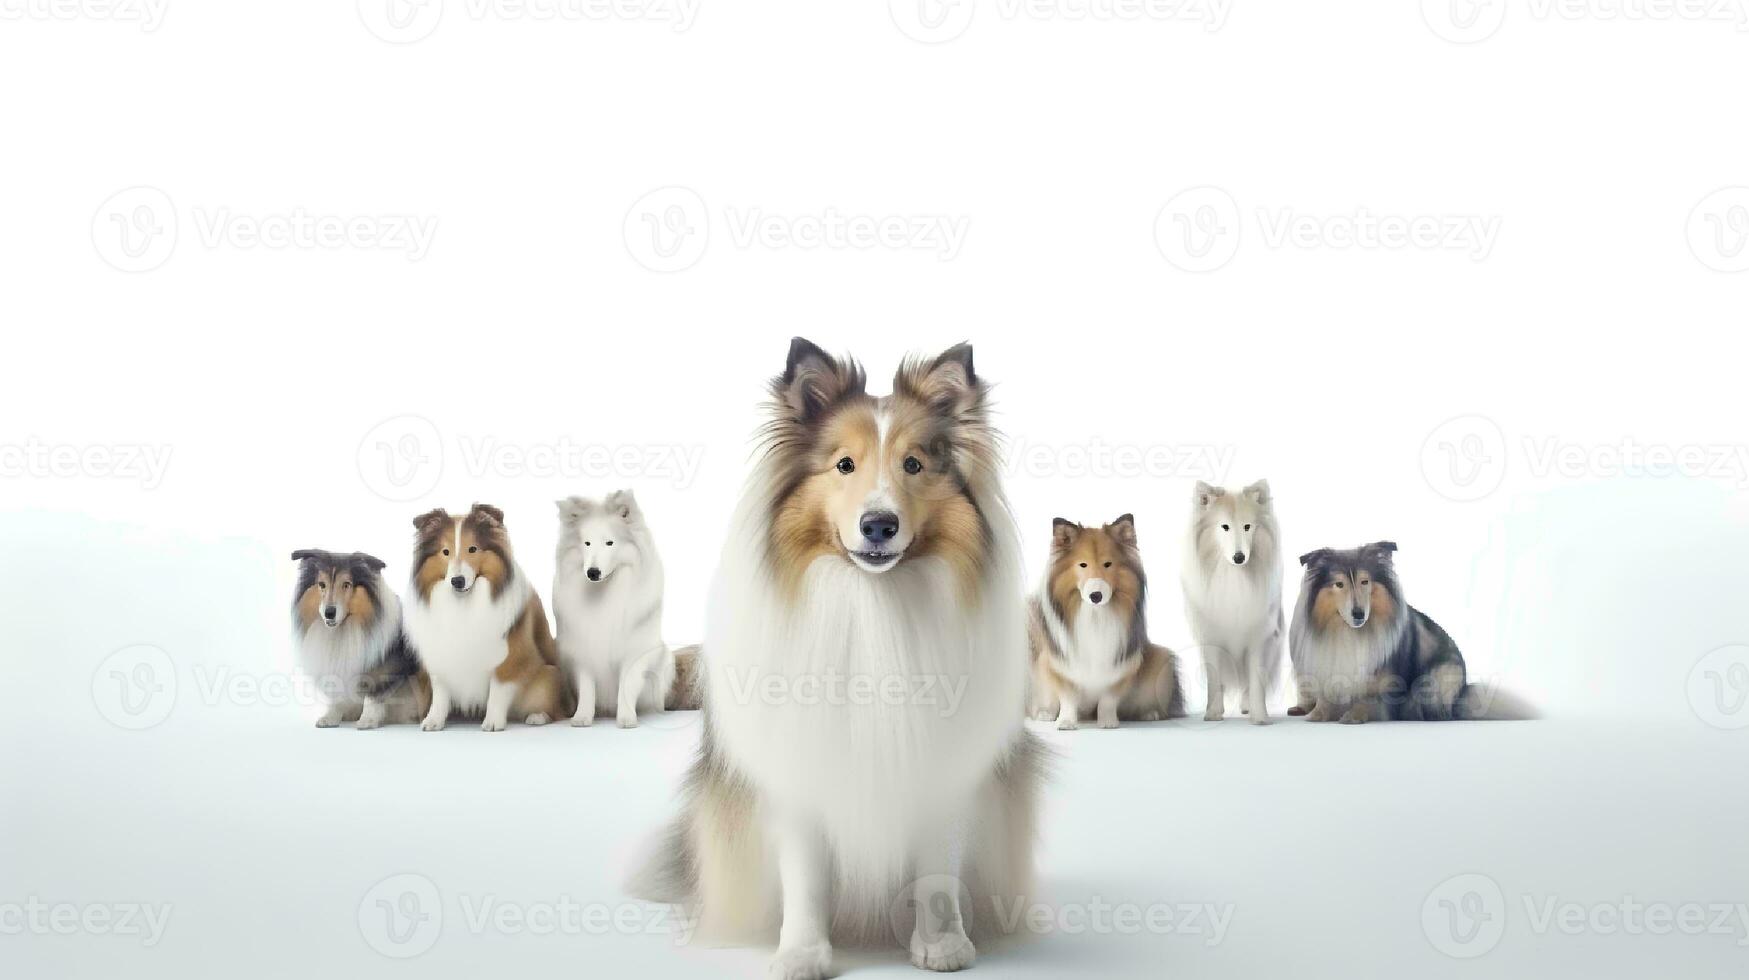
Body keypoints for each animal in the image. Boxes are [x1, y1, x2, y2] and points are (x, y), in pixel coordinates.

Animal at [402, 504, 573, 728]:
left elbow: (497, 692)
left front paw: (493, 722)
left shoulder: (509, 657)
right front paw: (433, 721)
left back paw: (537, 717)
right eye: (445, 552)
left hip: (547, 676)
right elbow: (440, 694)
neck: (463, 603)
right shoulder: (441, 655)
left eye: (473, 549)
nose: (457, 581)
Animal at [1021, 514, 1189, 728]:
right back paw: (1045, 714)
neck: (1095, 615)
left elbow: (1108, 699)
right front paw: (1066, 722)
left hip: (1161, 659)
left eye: (1108, 564)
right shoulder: (1058, 664)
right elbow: (1067, 697)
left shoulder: (1122, 666)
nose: (1096, 596)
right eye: (1082, 564)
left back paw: (1149, 713)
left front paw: (1108, 722)